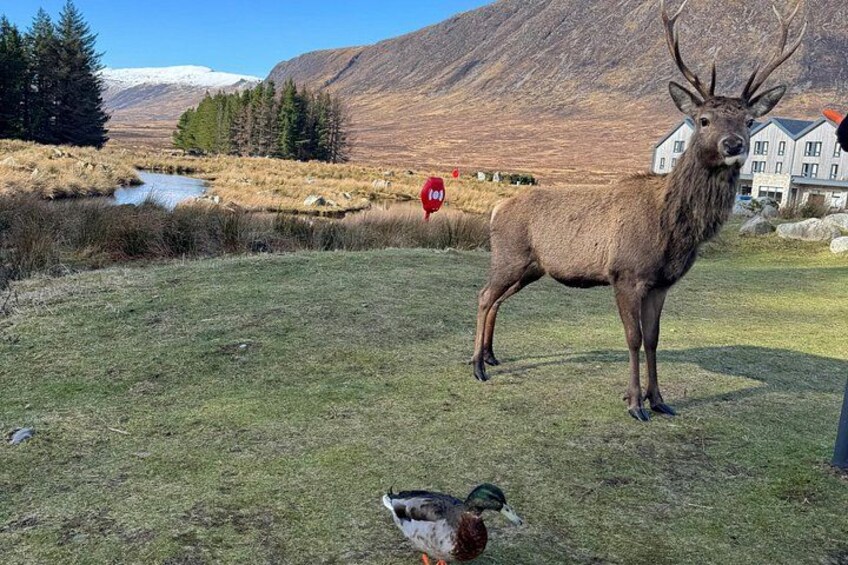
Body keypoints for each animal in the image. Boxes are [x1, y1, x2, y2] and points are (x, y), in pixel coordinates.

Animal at [471, 0, 806, 421]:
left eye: (749, 120)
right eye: (703, 119)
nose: (734, 144)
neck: (672, 229)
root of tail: (497, 207)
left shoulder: (662, 283)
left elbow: (653, 339)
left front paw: (659, 399)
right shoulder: (626, 274)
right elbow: (632, 338)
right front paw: (634, 403)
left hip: (530, 268)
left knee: (497, 299)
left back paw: (491, 356)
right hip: (509, 257)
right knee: (484, 295)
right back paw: (477, 366)